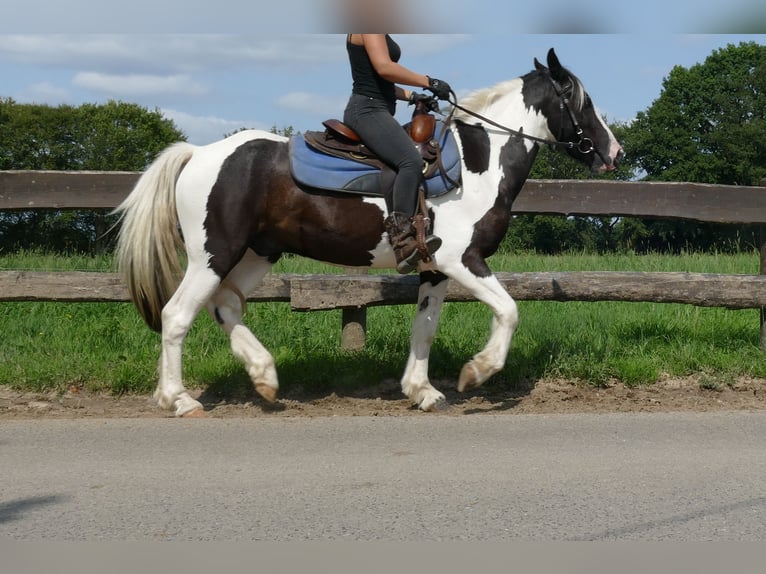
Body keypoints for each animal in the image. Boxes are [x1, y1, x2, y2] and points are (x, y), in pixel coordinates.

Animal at [117, 48, 628, 418]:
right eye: (582, 101)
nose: (615, 153)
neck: (477, 164)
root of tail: (198, 153)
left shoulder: (434, 268)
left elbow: (425, 327)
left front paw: (422, 391)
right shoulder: (462, 259)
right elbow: (509, 311)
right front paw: (475, 373)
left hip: (258, 253)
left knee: (224, 305)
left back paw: (264, 376)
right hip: (214, 253)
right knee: (177, 315)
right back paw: (180, 399)